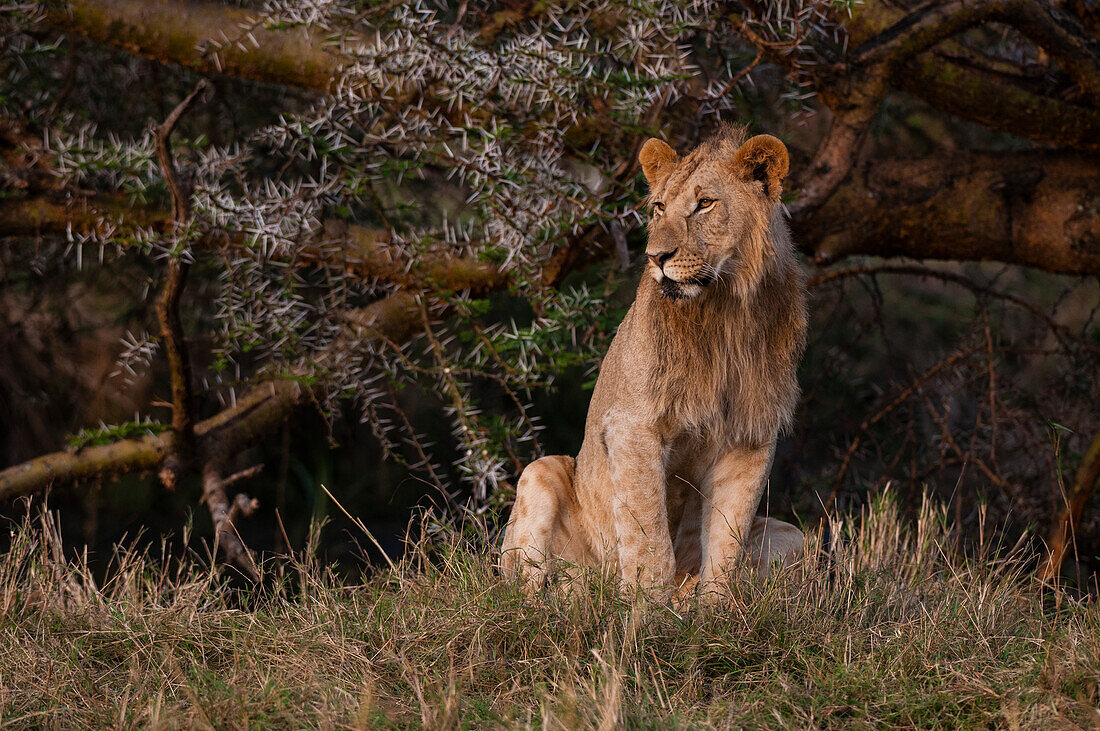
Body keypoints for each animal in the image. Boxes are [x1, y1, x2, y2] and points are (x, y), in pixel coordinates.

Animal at [499, 125, 809, 593]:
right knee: (528, 588)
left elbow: (727, 539)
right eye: (660, 207)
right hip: (541, 473)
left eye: (705, 203)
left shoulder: (749, 436)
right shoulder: (633, 424)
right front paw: (646, 607)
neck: (725, 311)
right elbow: (648, 534)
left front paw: (713, 607)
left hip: (796, 537)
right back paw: (579, 593)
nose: (655, 258)